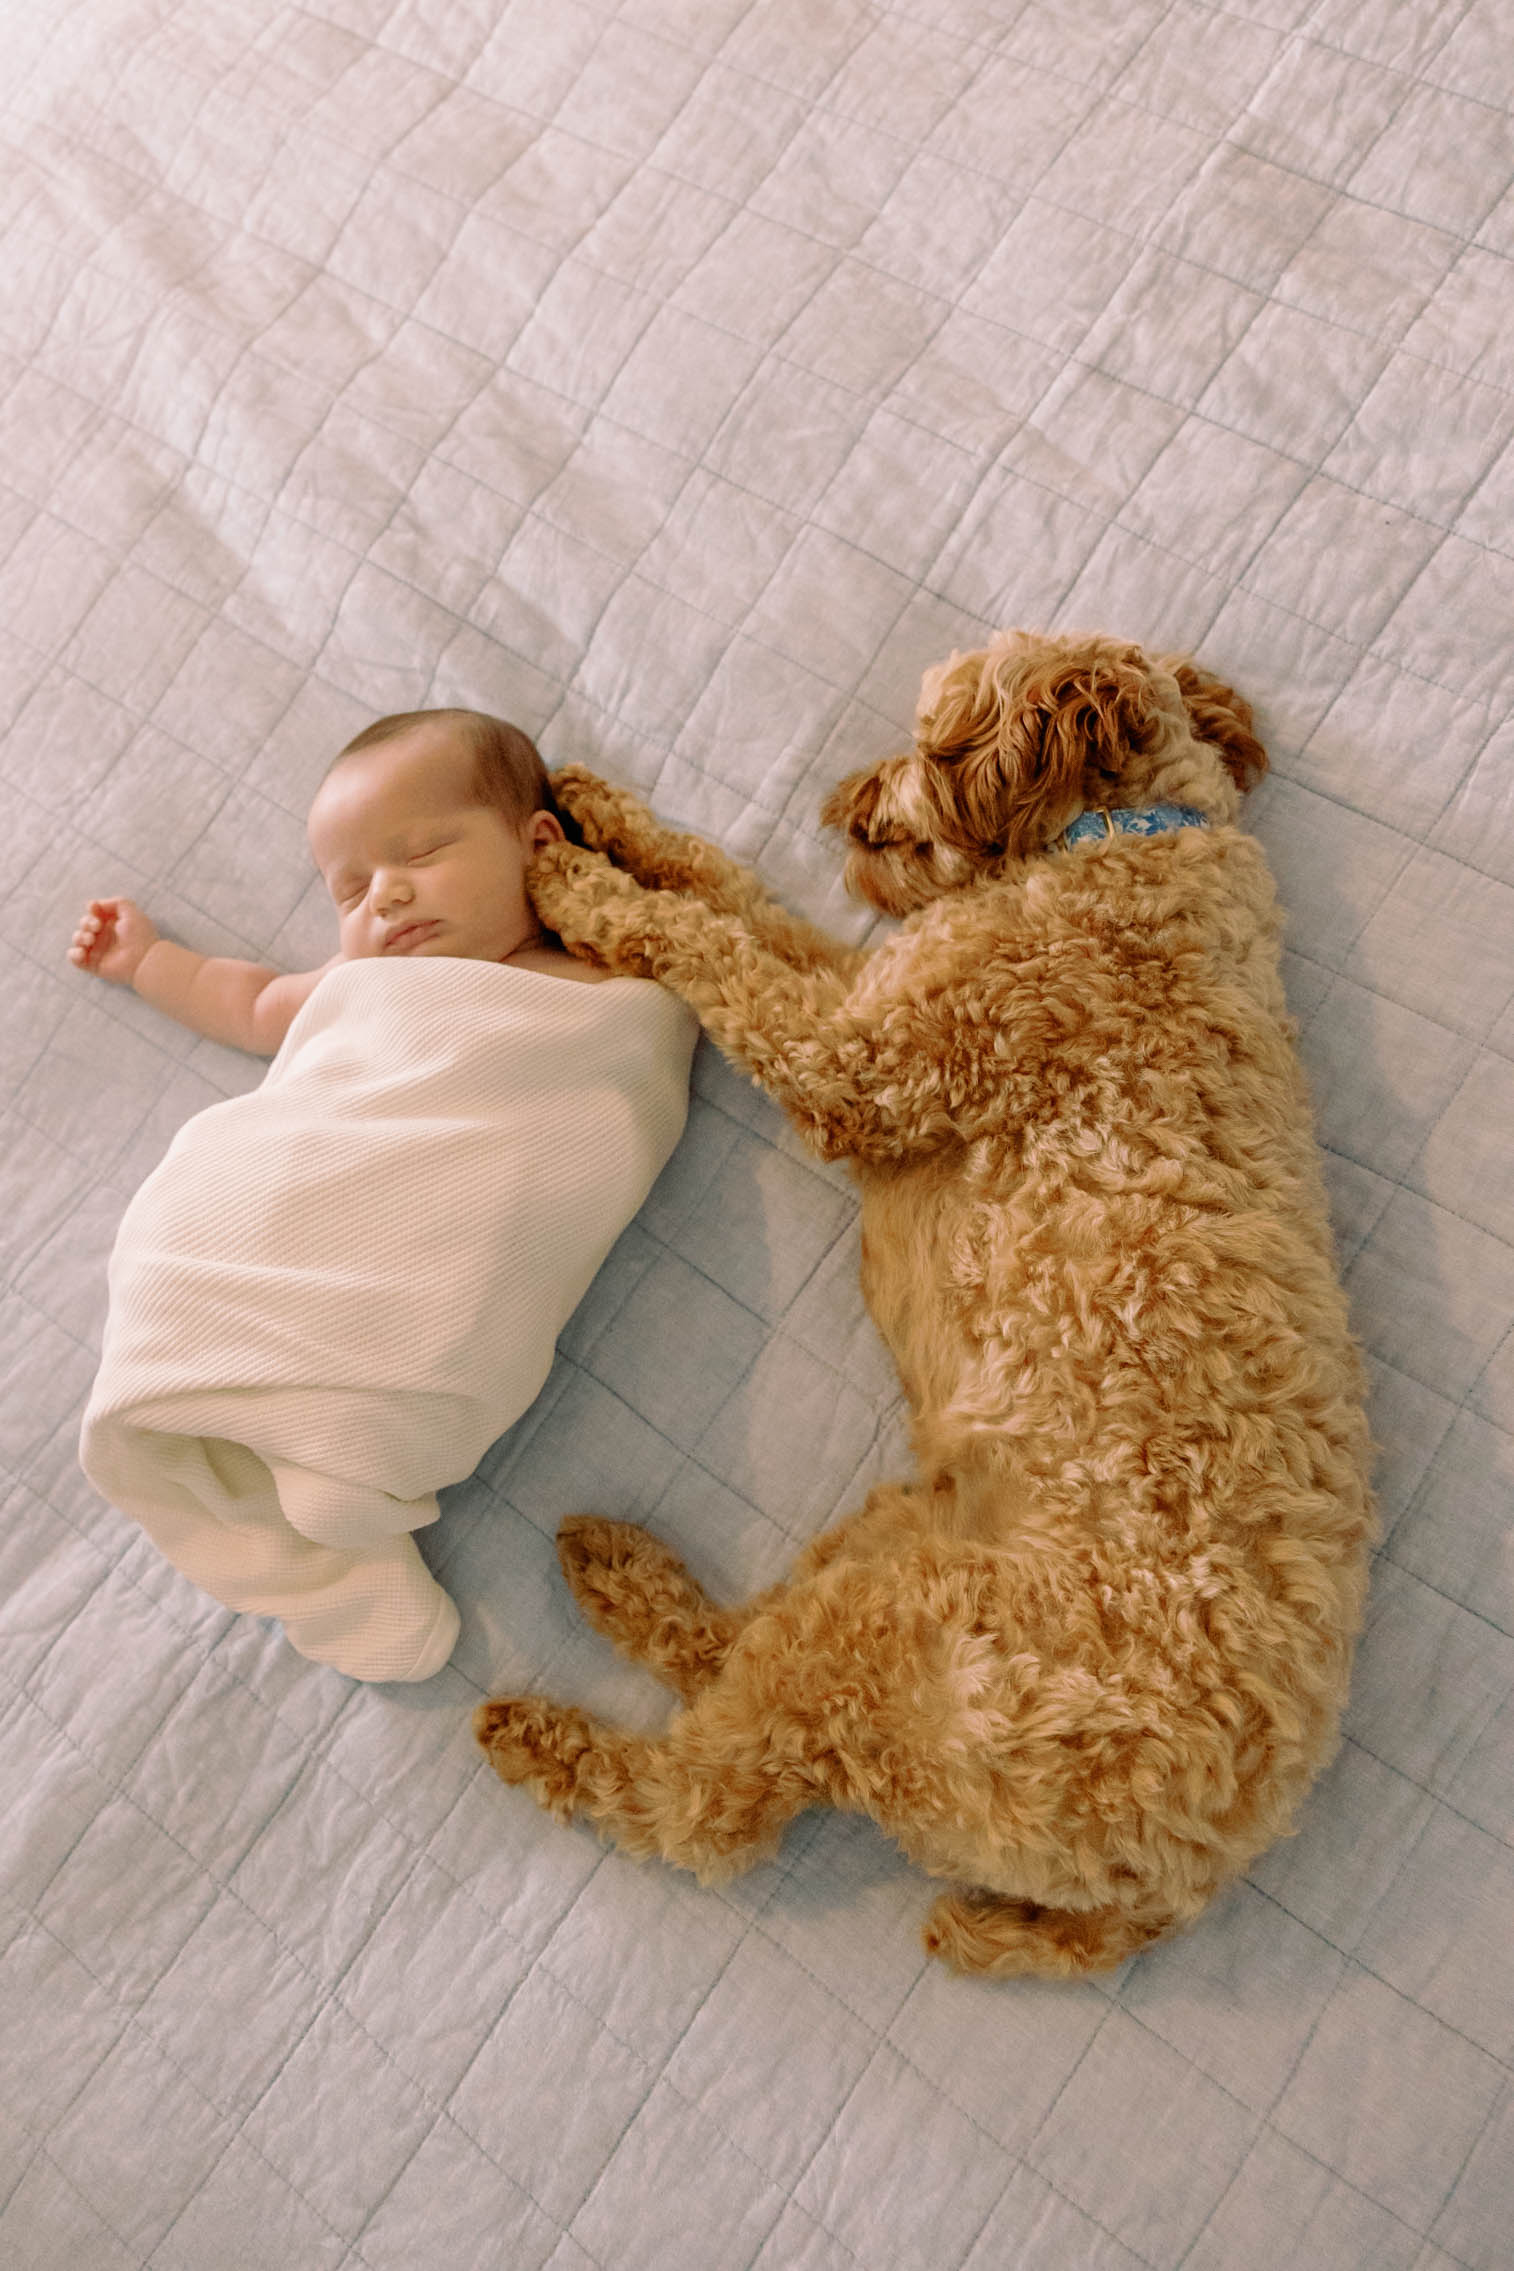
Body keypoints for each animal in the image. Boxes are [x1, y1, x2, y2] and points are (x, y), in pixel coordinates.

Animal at [476, 631, 1370, 1980]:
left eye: (928, 737)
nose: (840, 804)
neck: (1120, 836)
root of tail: (1175, 1883)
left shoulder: (857, 1063)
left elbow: (698, 945)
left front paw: (573, 881)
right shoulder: (862, 983)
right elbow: (732, 894)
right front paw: (600, 810)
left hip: (897, 1640)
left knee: (704, 1807)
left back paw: (539, 1732)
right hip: (901, 1541)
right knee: (725, 1649)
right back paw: (616, 1573)